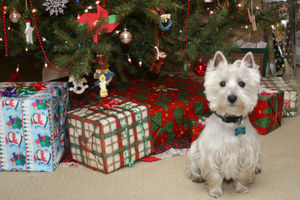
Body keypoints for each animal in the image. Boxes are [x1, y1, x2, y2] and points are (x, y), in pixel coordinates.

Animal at [186, 50, 262, 198]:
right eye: (222, 83)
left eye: (242, 83)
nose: (232, 97)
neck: (231, 122)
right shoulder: (211, 154)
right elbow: (215, 176)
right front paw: (215, 191)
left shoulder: (246, 153)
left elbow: (241, 174)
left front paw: (241, 188)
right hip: (194, 149)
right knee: (192, 166)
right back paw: (196, 176)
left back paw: (256, 169)